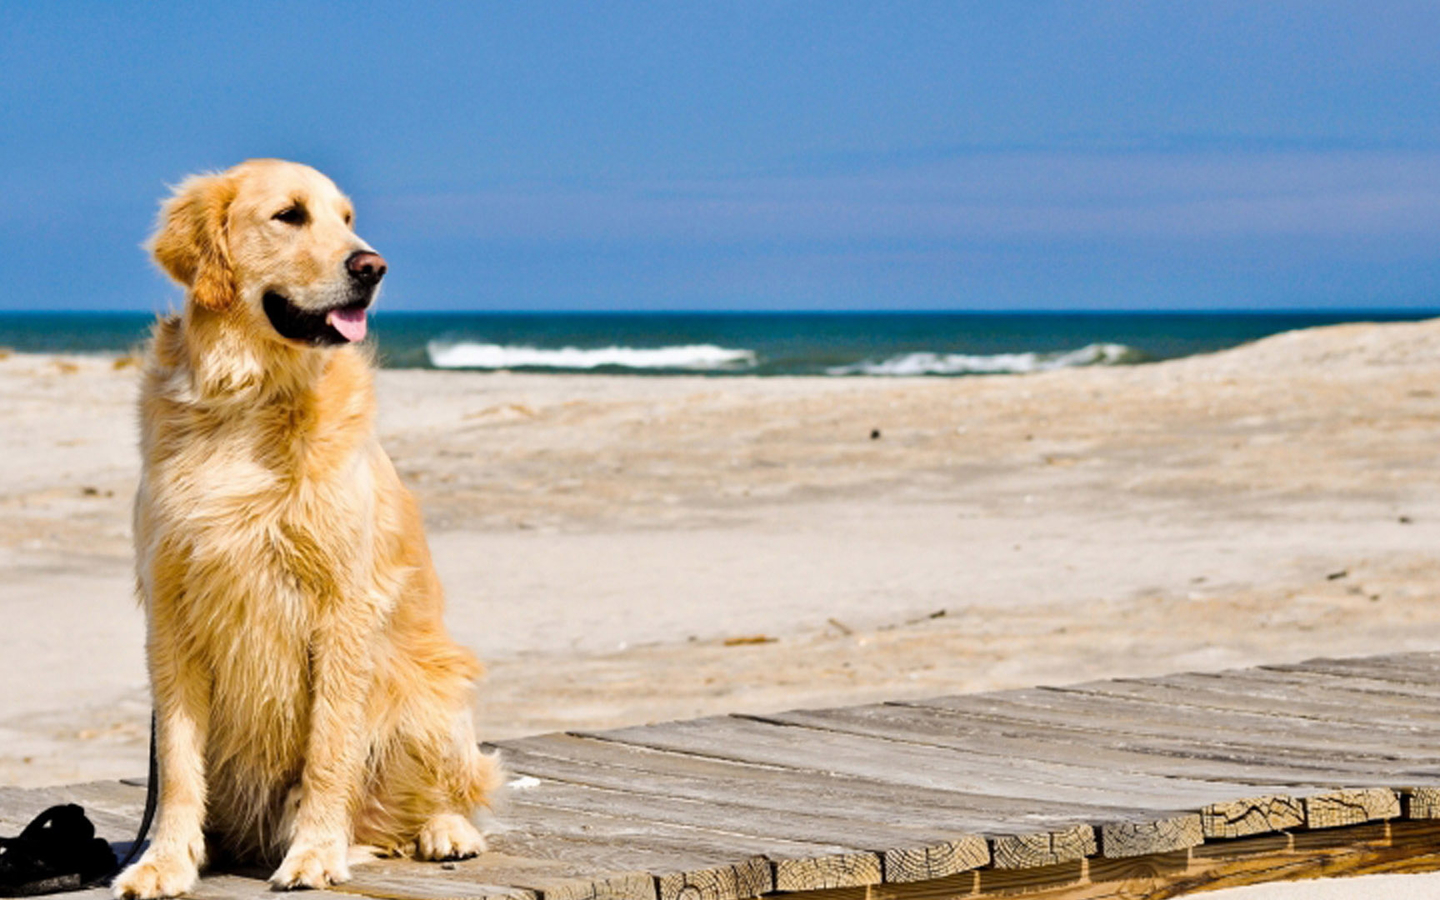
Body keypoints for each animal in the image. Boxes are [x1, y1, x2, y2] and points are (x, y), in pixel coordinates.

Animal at [110, 157, 501, 892]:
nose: (372, 266)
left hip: (427, 691)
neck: (246, 399)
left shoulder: (344, 607)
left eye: (347, 219)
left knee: (441, 794)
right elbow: (176, 763)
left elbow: (328, 747)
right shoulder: (171, 613)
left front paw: (316, 851)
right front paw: (165, 860)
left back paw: (445, 831)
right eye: (290, 215)